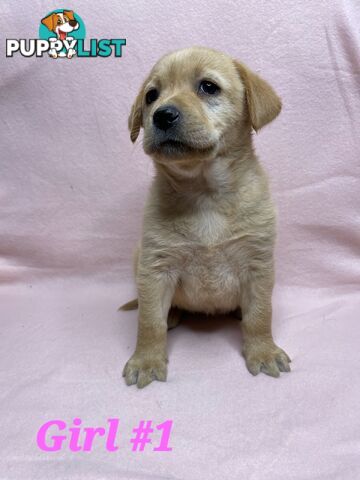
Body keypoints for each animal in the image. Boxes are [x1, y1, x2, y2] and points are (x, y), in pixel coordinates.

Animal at [122, 47, 292, 388]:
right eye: (151, 96)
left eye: (208, 87)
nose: (162, 114)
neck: (204, 194)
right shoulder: (155, 268)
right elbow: (149, 321)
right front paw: (146, 360)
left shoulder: (258, 264)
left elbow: (260, 315)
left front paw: (263, 352)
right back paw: (173, 314)